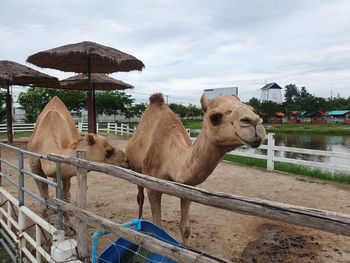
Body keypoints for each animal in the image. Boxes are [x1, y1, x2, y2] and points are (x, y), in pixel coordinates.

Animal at [125, 92, 266, 245]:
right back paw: (139, 222)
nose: (254, 122)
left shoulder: (188, 187)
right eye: (215, 117)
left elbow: (185, 228)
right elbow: (157, 228)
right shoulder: (153, 187)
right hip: (136, 170)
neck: (170, 159)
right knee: (140, 197)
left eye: (253, 109)